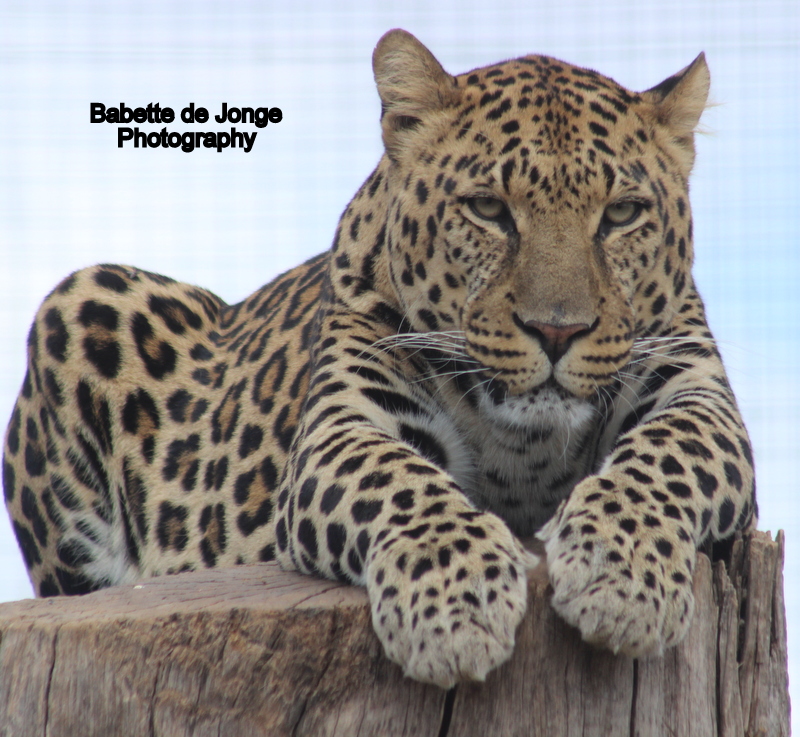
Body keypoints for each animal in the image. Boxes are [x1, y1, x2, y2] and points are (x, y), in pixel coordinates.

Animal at [1, 27, 756, 684]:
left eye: (622, 214)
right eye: (488, 209)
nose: (556, 330)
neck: (526, 448)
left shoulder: (696, 392)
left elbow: (662, 459)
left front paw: (621, 576)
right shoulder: (346, 423)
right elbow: (402, 483)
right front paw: (456, 607)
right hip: (83, 298)